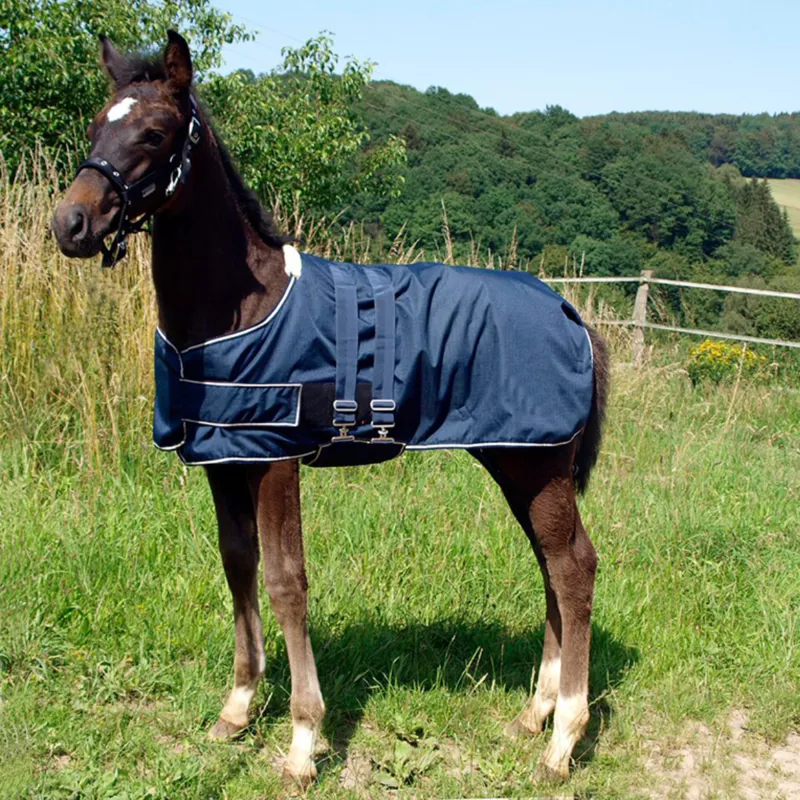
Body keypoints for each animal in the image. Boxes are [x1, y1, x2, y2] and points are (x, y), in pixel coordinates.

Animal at [52, 31, 609, 786]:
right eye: (94, 127)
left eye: (157, 133)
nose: (71, 223)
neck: (239, 305)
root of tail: (570, 311)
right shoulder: (223, 459)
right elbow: (238, 564)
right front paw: (237, 708)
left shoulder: (276, 459)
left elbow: (287, 581)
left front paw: (302, 743)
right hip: (517, 463)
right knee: (551, 566)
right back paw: (534, 717)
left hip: (538, 468)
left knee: (573, 568)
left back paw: (562, 742)